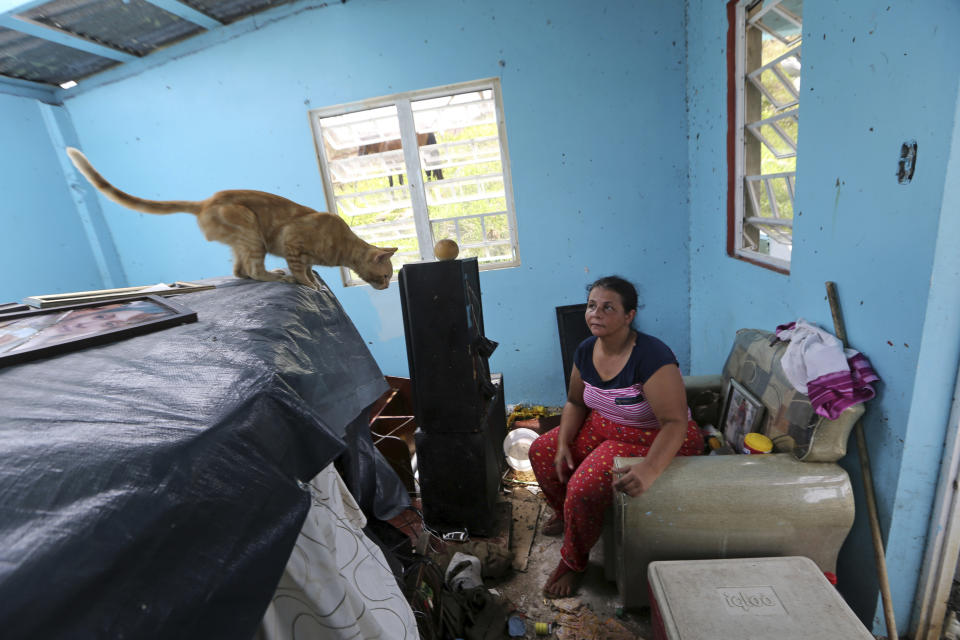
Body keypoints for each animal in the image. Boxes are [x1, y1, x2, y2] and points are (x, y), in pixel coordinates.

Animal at [66, 148, 398, 290]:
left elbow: (306, 267)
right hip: (251, 232)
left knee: (241, 272)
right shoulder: (292, 239)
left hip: (244, 241)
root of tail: (205, 202)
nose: (385, 287)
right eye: (384, 276)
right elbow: (300, 269)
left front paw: (312, 277)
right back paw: (279, 276)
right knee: (253, 271)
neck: (341, 246)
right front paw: (308, 283)